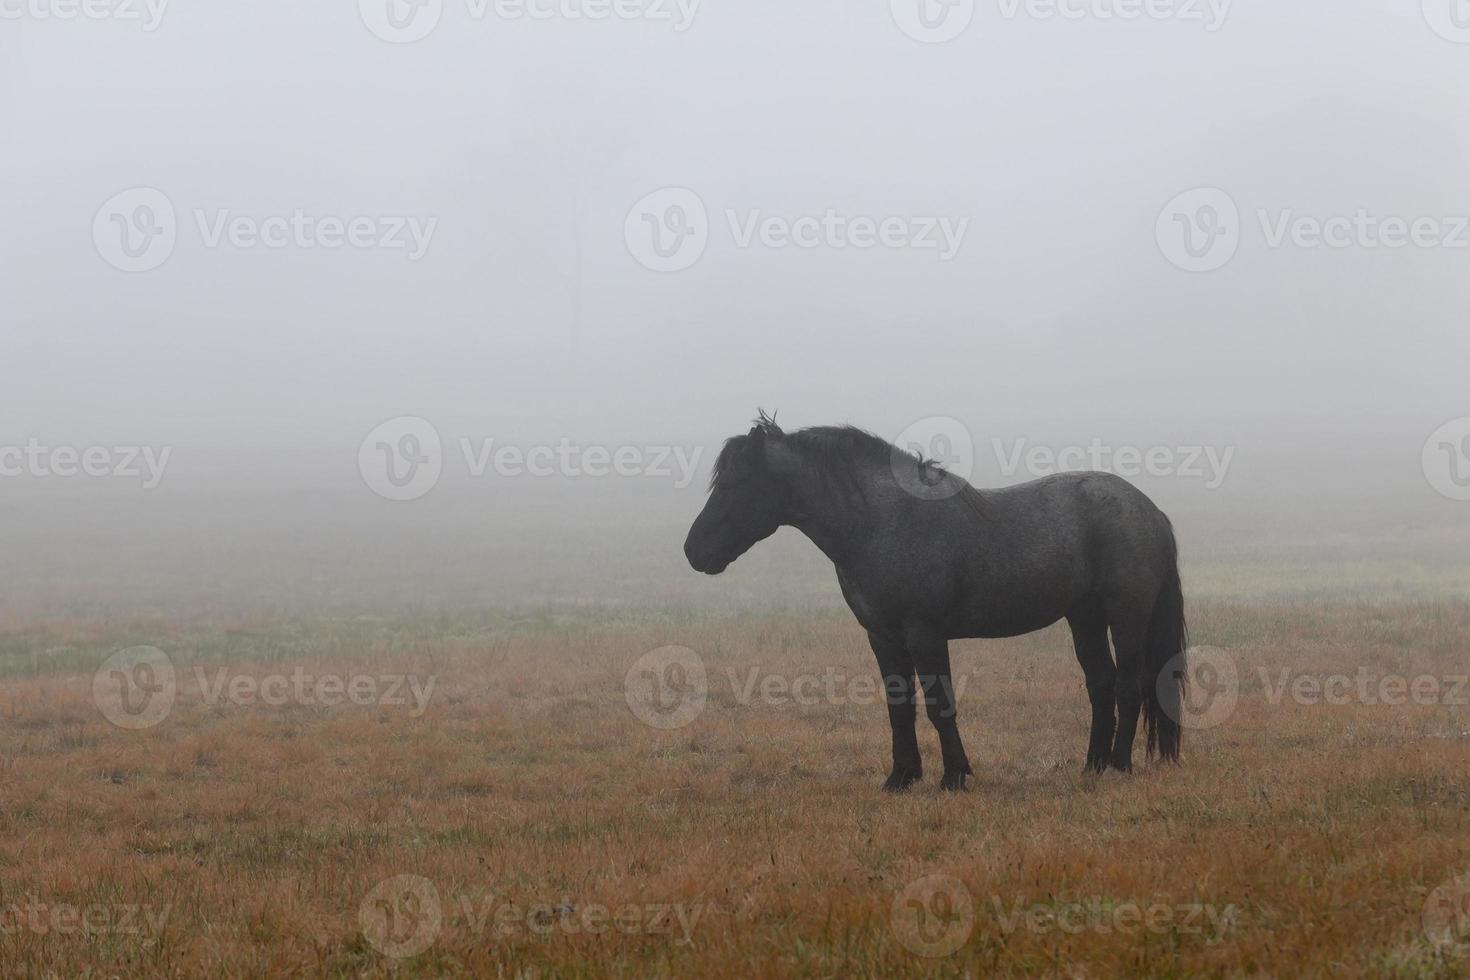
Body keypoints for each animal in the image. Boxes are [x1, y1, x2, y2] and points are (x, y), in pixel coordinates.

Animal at [682, 411, 1187, 787]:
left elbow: (938, 703)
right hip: (1083, 617)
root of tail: (1152, 511)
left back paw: (1118, 766)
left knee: (1129, 685)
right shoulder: (882, 637)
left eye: (734, 484)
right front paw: (901, 777)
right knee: (1101, 685)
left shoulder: (925, 634)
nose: (693, 551)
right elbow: (899, 705)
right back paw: (1092, 767)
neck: (881, 524)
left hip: (1126, 617)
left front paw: (955, 776)